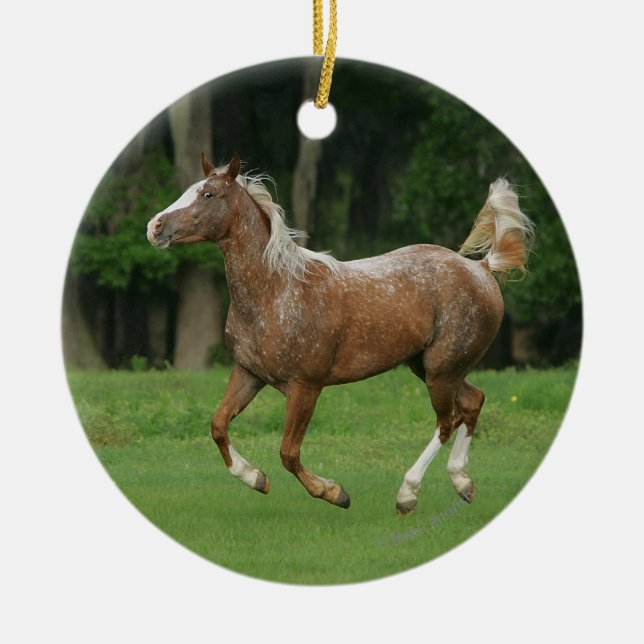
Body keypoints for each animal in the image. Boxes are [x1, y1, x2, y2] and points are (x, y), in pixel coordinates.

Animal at [147, 153, 533, 514]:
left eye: (208, 193)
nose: (154, 226)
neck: (276, 291)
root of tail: (482, 269)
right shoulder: (249, 374)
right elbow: (218, 425)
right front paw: (256, 478)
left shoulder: (305, 387)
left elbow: (288, 452)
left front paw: (335, 493)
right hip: (431, 367)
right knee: (472, 402)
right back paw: (462, 483)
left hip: (441, 370)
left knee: (446, 421)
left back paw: (407, 495)